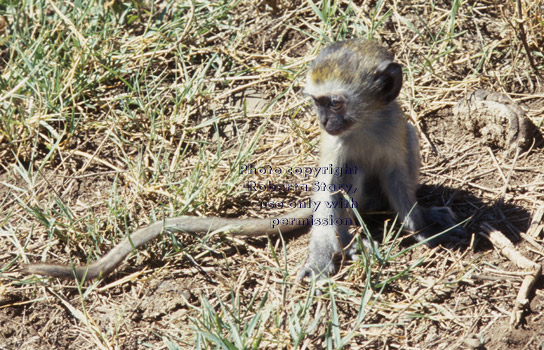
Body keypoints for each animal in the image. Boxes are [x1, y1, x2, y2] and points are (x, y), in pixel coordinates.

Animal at [23, 39, 462, 282]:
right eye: (318, 103)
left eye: (334, 102)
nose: (323, 121)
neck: (365, 124)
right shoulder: (336, 146)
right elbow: (328, 192)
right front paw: (324, 257)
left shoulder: (393, 126)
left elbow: (399, 177)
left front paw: (420, 227)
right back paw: (352, 240)